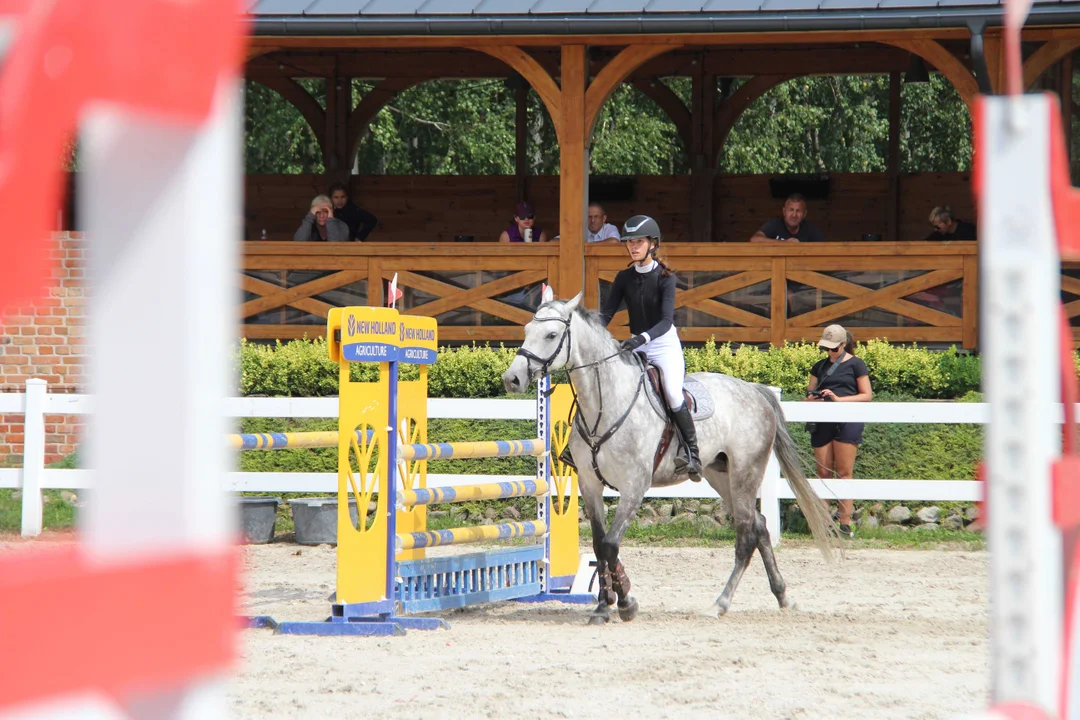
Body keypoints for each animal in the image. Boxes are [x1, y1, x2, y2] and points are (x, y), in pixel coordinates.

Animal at [501, 287, 838, 626]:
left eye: (551, 335)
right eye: (526, 331)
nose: (512, 379)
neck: (604, 403)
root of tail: (755, 390)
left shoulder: (634, 487)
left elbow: (610, 545)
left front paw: (625, 603)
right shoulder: (590, 485)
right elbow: (599, 546)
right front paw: (603, 607)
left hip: (746, 473)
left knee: (746, 535)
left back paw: (720, 604)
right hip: (721, 476)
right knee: (760, 527)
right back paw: (782, 596)